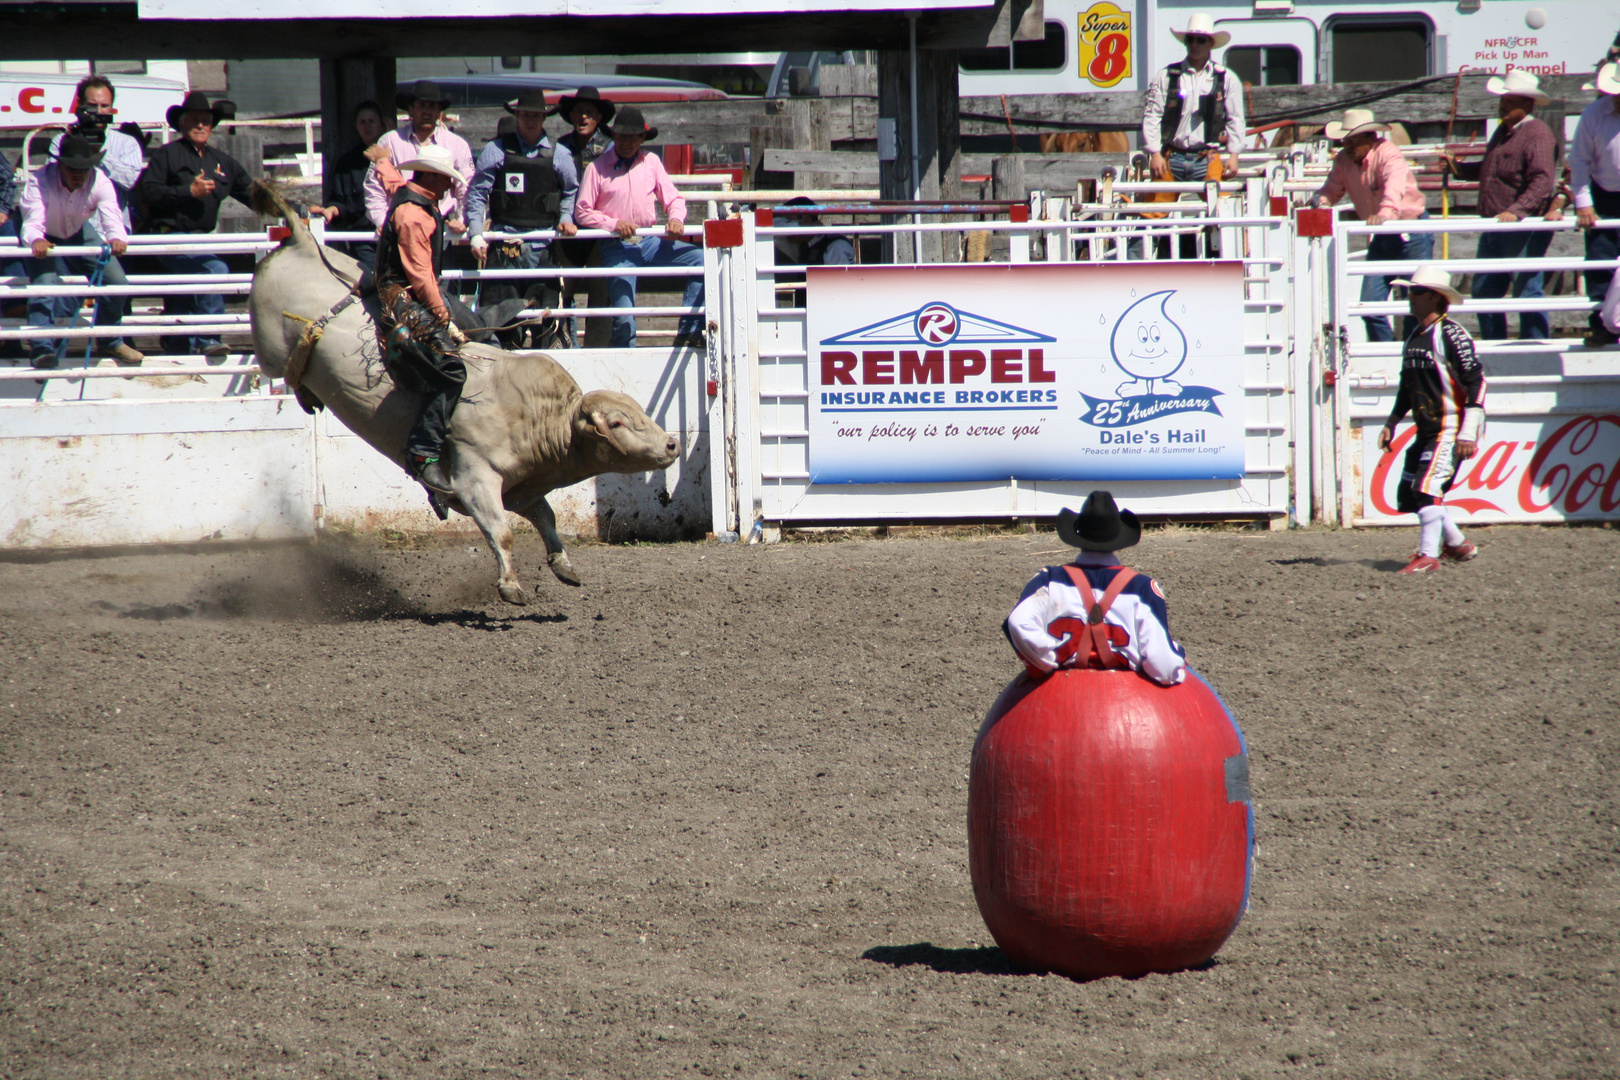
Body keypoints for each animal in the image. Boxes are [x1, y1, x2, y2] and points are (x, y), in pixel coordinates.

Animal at [249, 187, 680, 608]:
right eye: (617, 423)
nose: (672, 444)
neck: (535, 418)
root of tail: (304, 243)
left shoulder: (522, 489)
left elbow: (547, 519)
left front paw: (563, 566)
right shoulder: (475, 480)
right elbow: (501, 532)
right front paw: (511, 587)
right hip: (271, 345)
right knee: (274, 364)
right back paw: (296, 390)